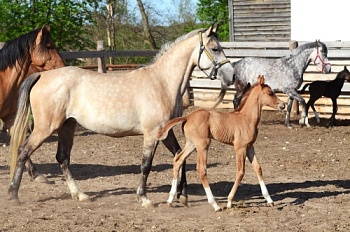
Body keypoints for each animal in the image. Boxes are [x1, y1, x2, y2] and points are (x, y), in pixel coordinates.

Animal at [7, 24, 235, 207]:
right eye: (215, 48)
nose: (231, 76)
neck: (161, 83)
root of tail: (42, 75)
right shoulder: (152, 134)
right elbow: (146, 165)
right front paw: (144, 198)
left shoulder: (166, 132)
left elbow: (180, 157)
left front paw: (182, 196)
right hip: (46, 127)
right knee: (23, 151)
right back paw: (13, 195)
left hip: (67, 126)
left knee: (62, 158)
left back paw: (80, 195)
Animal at [159, 75, 284, 211]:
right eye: (270, 93)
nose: (283, 105)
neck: (246, 118)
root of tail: (187, 117)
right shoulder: (240, 148)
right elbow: (240, 171)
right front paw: (229, 201)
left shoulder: (250, 147)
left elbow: (258, 168)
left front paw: (270, 200)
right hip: (203, 145)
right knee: (201, 169)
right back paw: (215, 205)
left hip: (191, 144)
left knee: (178, 160)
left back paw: (170, 199)